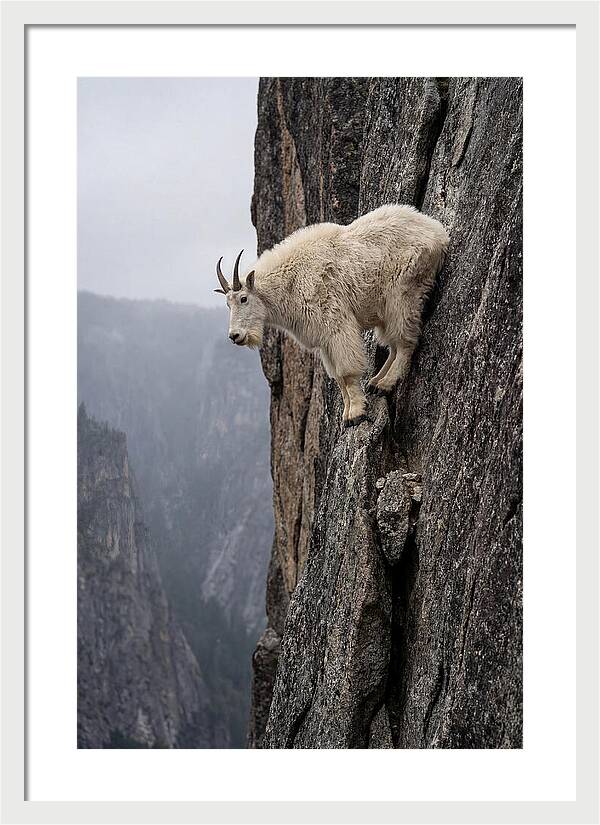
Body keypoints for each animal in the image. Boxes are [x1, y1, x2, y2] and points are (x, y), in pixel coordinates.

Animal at [214, 204, 449, 425]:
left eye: (243, 299)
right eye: (227, 304)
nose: (235, 336)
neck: (290, 282)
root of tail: (438, 232)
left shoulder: (336, 324)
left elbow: (346, 372)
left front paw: (356, 413)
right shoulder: (324, 341)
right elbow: (337, 378)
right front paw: (347, 413)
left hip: (403, 293)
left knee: (405, 341)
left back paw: (385, 384)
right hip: (385, 309)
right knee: (393, 344)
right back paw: (375, 382)